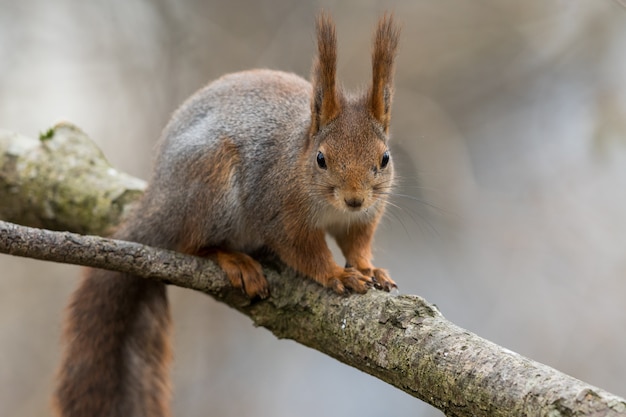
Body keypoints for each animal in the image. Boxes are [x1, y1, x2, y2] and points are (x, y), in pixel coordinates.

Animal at [52, 13, 394, 416]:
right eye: (322, 159)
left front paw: (369, 267)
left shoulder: (364, 216)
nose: (354, 199)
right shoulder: (275, 209)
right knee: (189, 244)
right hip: (210, 189)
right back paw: (233, 259)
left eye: (384, 158)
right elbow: (302, 251)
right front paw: (336, 274)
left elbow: (357, 242)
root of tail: (159, 203)